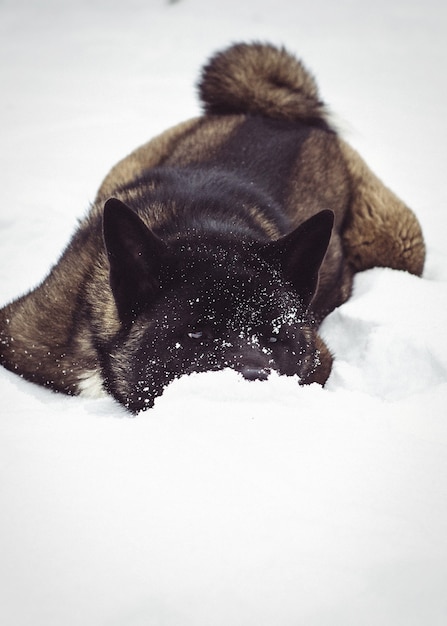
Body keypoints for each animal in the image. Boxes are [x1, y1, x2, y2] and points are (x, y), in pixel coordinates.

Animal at [0, 45, 426, 414]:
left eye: (275, 337)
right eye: (196, 334)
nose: (255, 379)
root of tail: (276, 116)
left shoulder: (319, 360)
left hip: (397, 243)